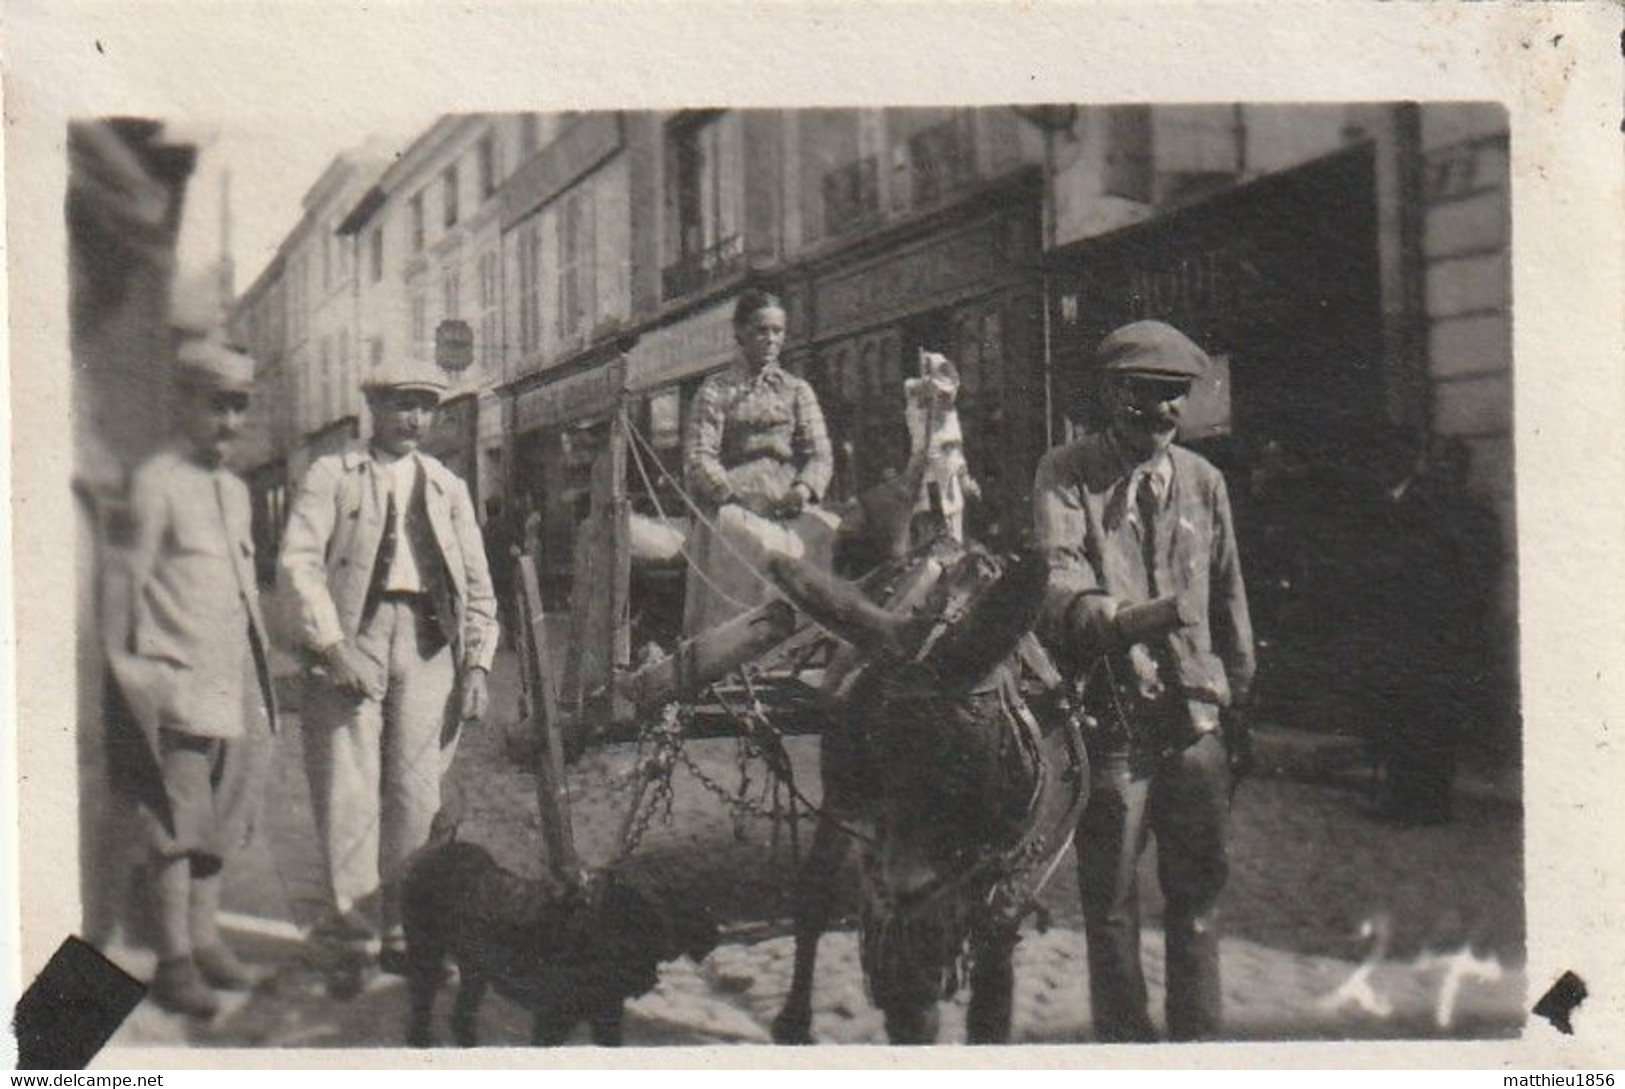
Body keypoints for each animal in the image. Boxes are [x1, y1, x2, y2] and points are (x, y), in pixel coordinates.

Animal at [399, 845, 718, 1046]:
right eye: (694, 904)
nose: (716, 936)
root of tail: (433, 854)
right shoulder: (553, 1016)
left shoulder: (606, 1013)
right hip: (425, 953)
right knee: (421, 1006)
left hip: (474, 969)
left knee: (460, 1016)